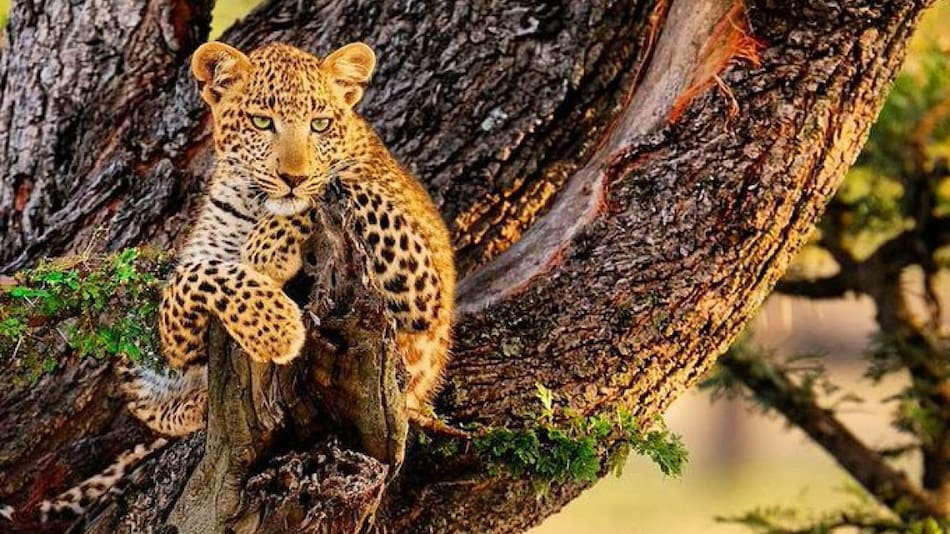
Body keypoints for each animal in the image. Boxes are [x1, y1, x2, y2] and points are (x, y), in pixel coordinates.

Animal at [37, 40, 455, 521]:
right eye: (261, 122)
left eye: (320, 124)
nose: (292, 176)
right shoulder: (183, 323)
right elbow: (193, 278)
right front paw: (276, 327)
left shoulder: (422, 293)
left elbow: (335, 182)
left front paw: (271, 246)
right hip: (134, 363)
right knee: (157, 410)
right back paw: (198, 405)